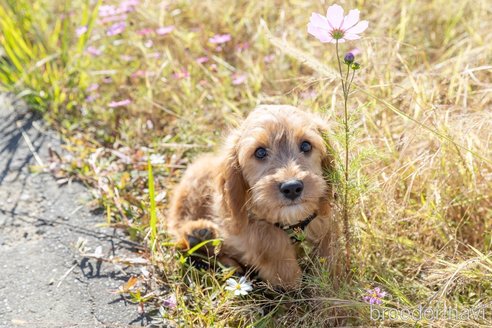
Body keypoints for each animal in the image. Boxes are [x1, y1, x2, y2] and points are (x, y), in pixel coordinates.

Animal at [167, 105, 340, 288]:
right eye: (260, 152)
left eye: (306, 145)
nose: (292, 187)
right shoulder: (241, 222)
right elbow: (269, 237)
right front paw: (290, 278)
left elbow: (329, 243)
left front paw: (329, 275)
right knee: (178, 224)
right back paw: (199, 234)